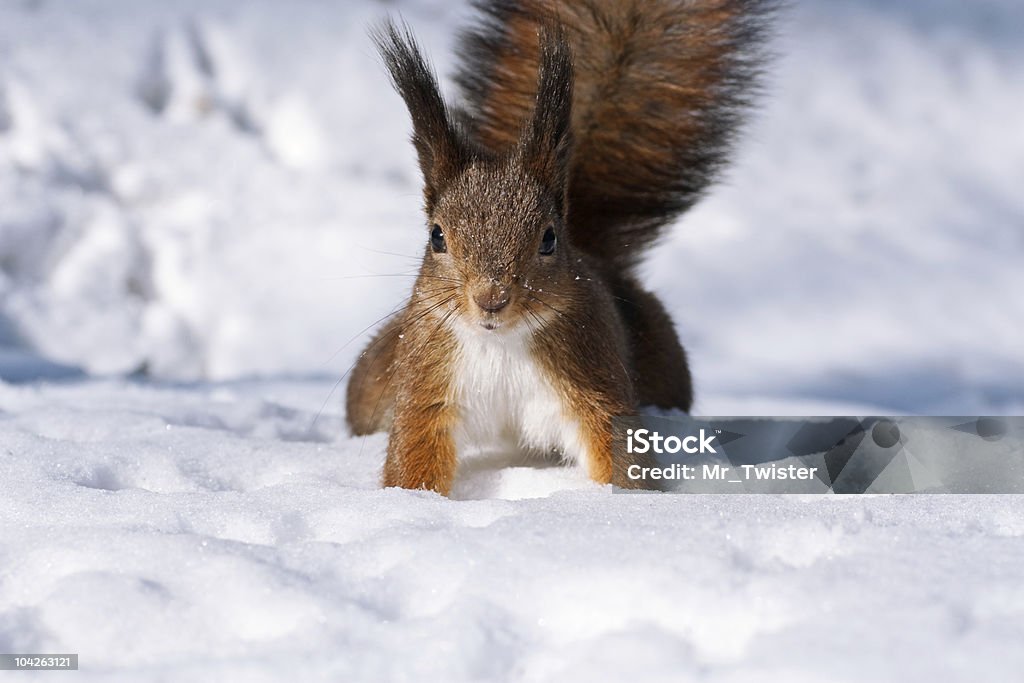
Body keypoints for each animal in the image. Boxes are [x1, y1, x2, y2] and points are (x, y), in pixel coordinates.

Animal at [344, 0, 770, 493]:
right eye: (437, 236)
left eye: (548, 238)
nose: (492, 298)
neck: (502, 345)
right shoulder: (428, 384)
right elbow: (413, 454)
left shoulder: (591, 381)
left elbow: (617, 450)